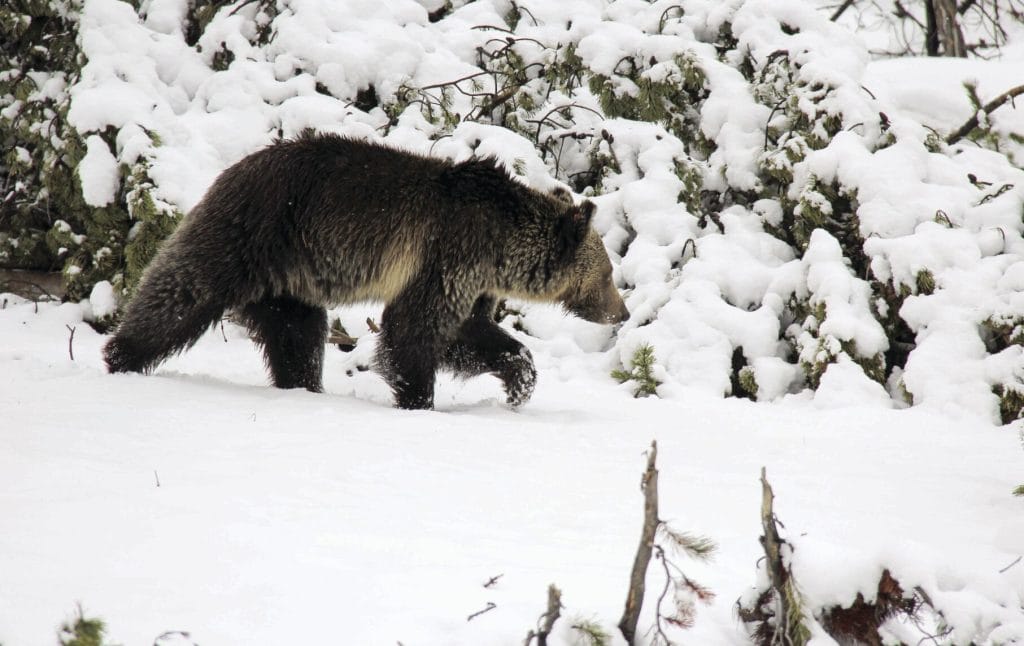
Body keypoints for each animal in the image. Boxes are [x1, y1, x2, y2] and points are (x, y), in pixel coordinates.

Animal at [103, 131, 629, 409]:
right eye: (607, 275)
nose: (621, 313)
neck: (500, 244)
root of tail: (231, 169)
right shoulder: (446, 252)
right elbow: (412, 331)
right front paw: (418, 399)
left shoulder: (471, 279)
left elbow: (467, 335)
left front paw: (519, 382)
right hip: (253, 232)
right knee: (181, 293)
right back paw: (120, 357)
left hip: (290, 281)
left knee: (296, 335)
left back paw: (303, 386)